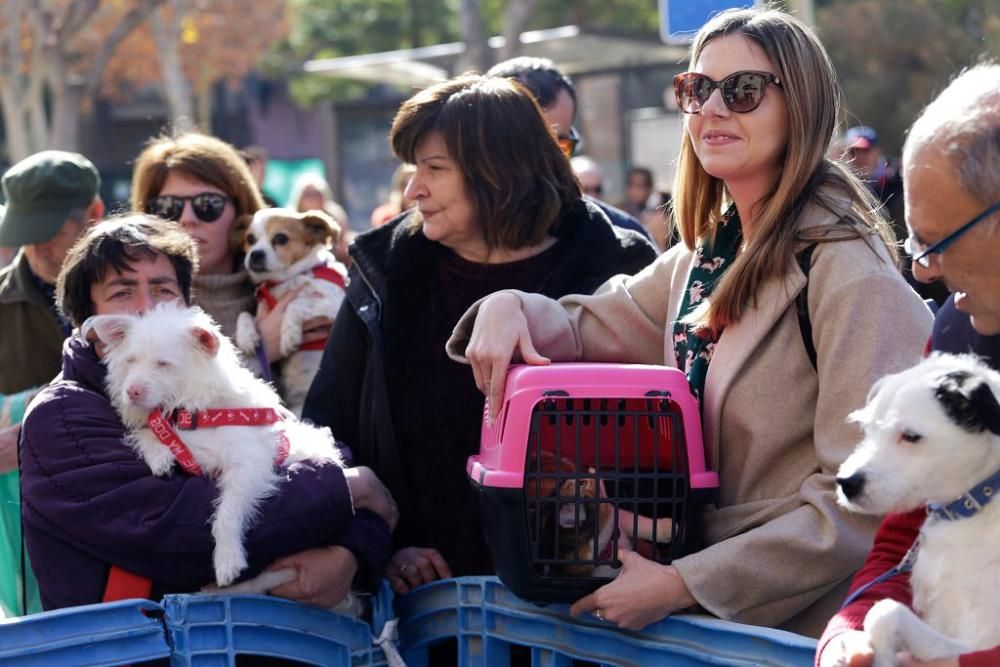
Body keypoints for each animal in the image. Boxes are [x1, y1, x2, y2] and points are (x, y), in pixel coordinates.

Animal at [234, 209, 348, 418]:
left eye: (281, 238)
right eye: (250, 239)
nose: (255, 254)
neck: (288, 280)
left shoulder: (334, 304)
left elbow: (295, 303)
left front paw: (289, 336)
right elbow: (244, 315)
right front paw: (247, 338)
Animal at [470, 366, 720, 604]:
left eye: (578, 470)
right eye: (583, 482)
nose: (591, 469)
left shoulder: (619, 517)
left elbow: (640, 521)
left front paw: (670, 528)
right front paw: (671, 528)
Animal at [836, 352, 1000, 664]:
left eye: (911, 436)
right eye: (867, 429)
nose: (846, 482)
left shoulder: (978, 642)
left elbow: (884, 611)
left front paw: (883, 659)